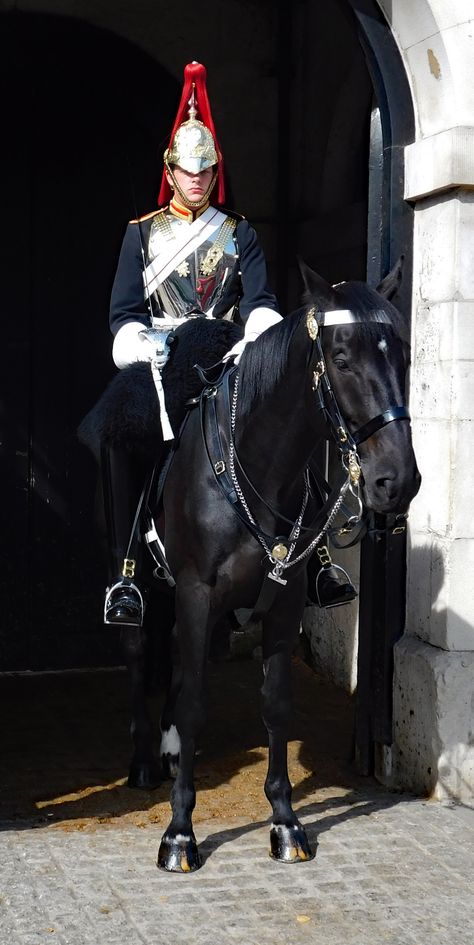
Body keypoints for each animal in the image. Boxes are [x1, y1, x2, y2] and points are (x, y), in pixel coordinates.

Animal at [116, 258, 420, 872]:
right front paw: (179, 834)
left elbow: (276, 704)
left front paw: (284, 822)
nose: (396, 481)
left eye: (402, 356)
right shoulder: (196, 591)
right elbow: (196, 704)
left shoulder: (285, 598)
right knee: (139, 649)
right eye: (342, 359)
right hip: (149, 585)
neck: (254, 466)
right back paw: (143, 762)